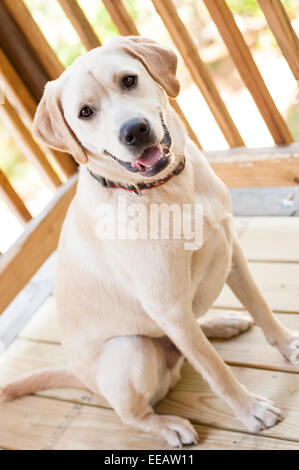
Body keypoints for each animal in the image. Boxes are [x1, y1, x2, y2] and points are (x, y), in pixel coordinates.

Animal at [2, 35, 299, 444]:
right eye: (85, 112)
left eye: (128, 80)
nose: (134, 130)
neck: (164, 190)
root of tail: (81, 378)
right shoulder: (169, 307)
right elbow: (215, 369)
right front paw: (250, 409)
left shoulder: (231, 250)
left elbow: (261, 307)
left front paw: (288, 345)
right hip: (133, 348)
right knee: (133, 413)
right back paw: (167, 425)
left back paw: (220, 323)